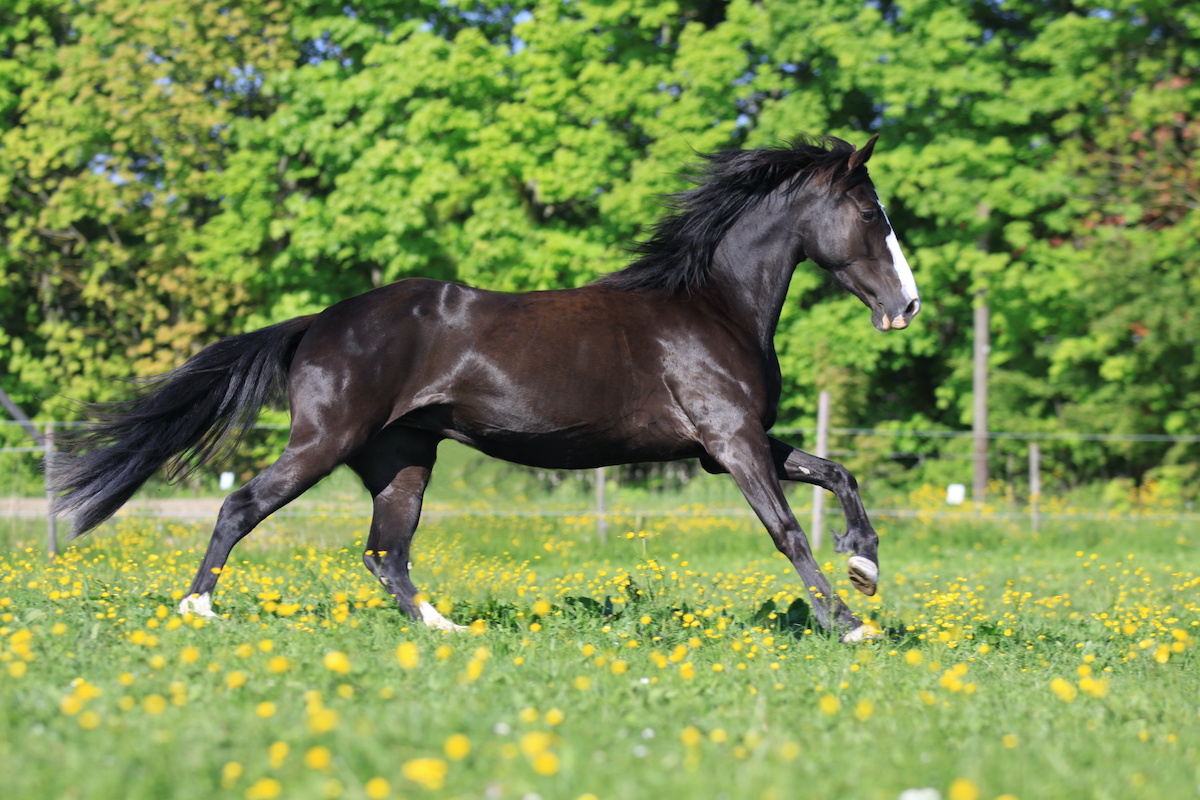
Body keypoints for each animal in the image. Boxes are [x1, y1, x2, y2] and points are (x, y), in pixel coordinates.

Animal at [50, 134, 920, 642]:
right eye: (870, 215)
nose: (907, 305)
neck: (712, 307)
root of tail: (318, 323)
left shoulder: (733, 444)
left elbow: (839, 473)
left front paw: (867, 567)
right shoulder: (730, 443)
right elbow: (788, 531)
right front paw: (849, 622)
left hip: (401, 459)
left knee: (384, 552)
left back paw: (447, 629)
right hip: (326, 441)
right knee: (245, 505)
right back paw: (198, 609)